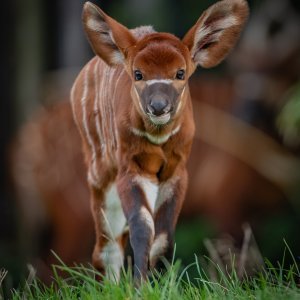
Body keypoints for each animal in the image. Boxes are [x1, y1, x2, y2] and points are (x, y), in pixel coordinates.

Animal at [71, 0, 248, 282]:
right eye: (138, 74)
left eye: (180, 72)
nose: (158, 106)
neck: (158, 137)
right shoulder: (132, 169)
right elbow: (143, 227)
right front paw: (140, 285)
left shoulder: (176, 172)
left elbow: (163, 236)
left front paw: (158, 282)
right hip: (99, 172)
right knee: (106, 245)